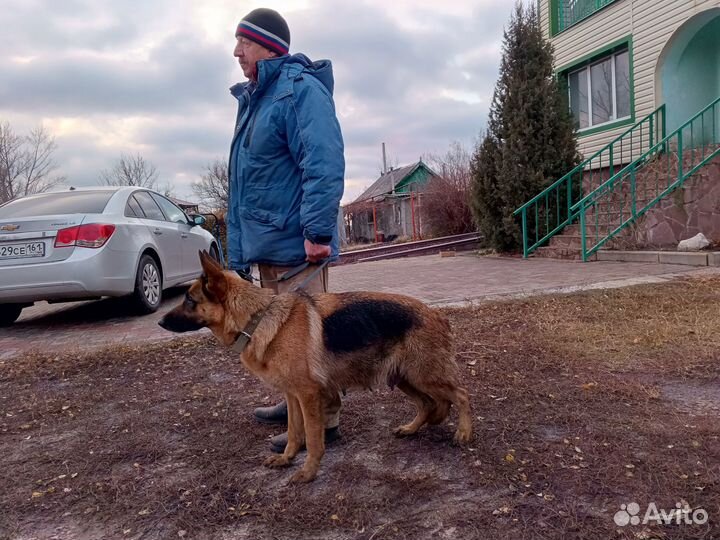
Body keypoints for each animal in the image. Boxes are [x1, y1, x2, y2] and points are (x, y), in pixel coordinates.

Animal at [158, 251, 472, 484]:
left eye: (190, 300)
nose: (159, 322)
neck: (257, 319)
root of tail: (436, 314)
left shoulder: (308, 395)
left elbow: (312, 436)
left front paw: (308, 472)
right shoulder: (292, 395)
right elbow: (294, 431)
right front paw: (287, 458)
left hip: (424, 376)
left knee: (461, 395)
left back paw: (464, 433)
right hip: (406, 378)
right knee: (429, 405)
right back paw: (411, 428)